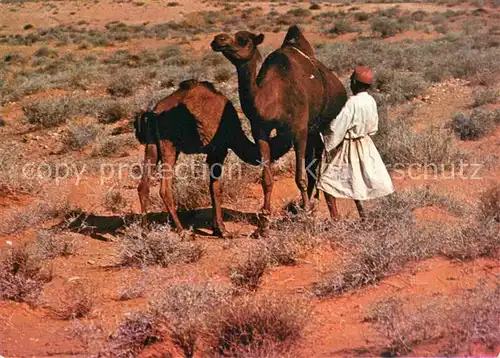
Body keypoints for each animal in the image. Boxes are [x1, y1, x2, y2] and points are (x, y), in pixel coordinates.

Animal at [135, 80, 288, 239]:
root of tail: (154, 113)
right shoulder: (219, 150)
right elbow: (216, 188)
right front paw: (223, 230)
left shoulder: (214, 153)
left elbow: (211, 187)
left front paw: (217, 229)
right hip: (169, 145)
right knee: (165, 189)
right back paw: (183, 232)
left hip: (152, 144)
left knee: (143, 185)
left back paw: (144, 232)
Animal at [211, 25, 348, 238]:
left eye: (243, 39)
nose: (218, 39)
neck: (273, 97)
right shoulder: (260, 131)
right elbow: (267, 179)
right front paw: (263, 226)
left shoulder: (299, 130)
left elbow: (299, 177)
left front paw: (306, 219)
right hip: (314, 132)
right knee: (314, 167)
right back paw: (313, 207)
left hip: (331, 123)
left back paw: (331, 215)